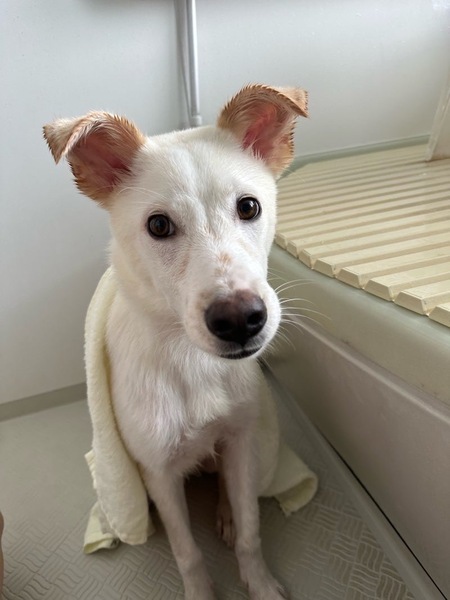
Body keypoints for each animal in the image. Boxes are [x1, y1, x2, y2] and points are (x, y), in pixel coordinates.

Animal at [44, 84, 308, 600]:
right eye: (159, 226)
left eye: (249, 207)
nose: (241, 320)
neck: (191, 362)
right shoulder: (158, 472)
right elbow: (187, 552)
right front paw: (202, 589)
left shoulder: (242, 441)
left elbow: (250, 529)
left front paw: (259, 582)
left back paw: (224, 512)